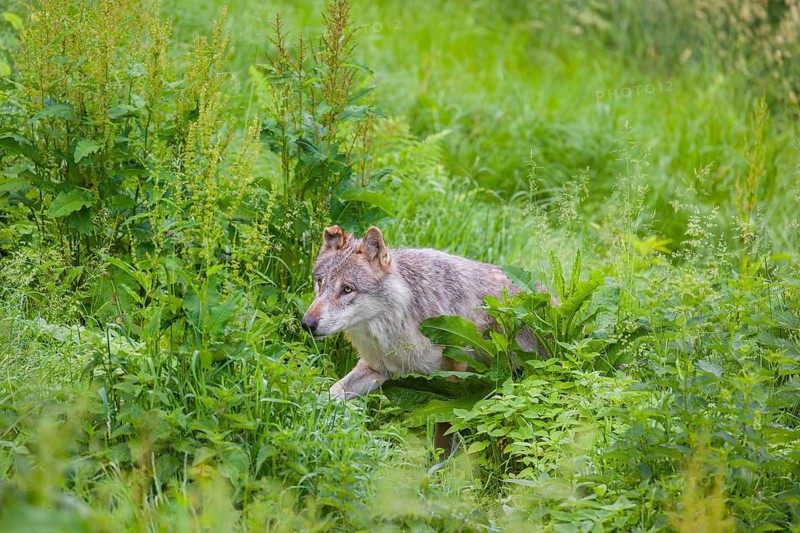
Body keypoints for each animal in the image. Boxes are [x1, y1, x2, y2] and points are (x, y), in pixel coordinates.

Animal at [301, 225, 553, 402]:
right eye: (320, 282)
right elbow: (330, 392)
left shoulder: (456, 370)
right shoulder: (377, 368)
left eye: (347, 289)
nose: (307, 324)